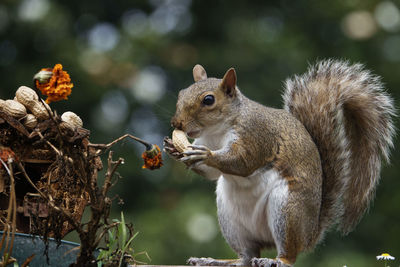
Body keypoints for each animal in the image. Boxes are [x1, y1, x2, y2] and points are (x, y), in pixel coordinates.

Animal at [163, 59, 396, 266]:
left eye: (208, 100)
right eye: (181, 93)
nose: (176, 123)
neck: (217, 131)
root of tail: (310, 234)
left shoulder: (257, 134)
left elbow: (243, 161)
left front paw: (207, 156)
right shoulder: (205, 140)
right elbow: (210, 173)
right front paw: (174, 150)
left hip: (287, 210)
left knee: (288, 254)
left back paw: (277, 260)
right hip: (231, 221)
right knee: (246, 257)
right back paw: (216, 261)